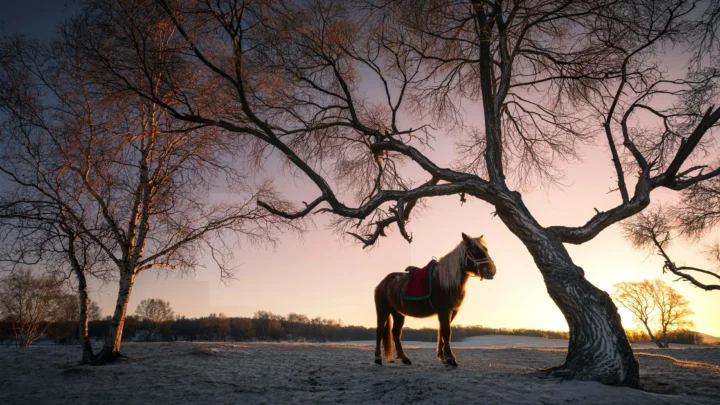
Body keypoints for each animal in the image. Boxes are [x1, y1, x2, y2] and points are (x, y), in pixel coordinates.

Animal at [373, 232, 496, 367]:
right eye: (474, 250)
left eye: (485, 249)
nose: (491, 270)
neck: (447, 281)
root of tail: (383, 283)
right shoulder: (444, 311)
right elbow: (446, 332)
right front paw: (450, 358)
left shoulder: (452, 312)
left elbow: (442, 332)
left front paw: (443, 357)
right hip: (383, 311)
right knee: (379, 331)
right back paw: (377, 358)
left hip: (398, 313)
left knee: (396, 333)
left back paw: (405, 358)